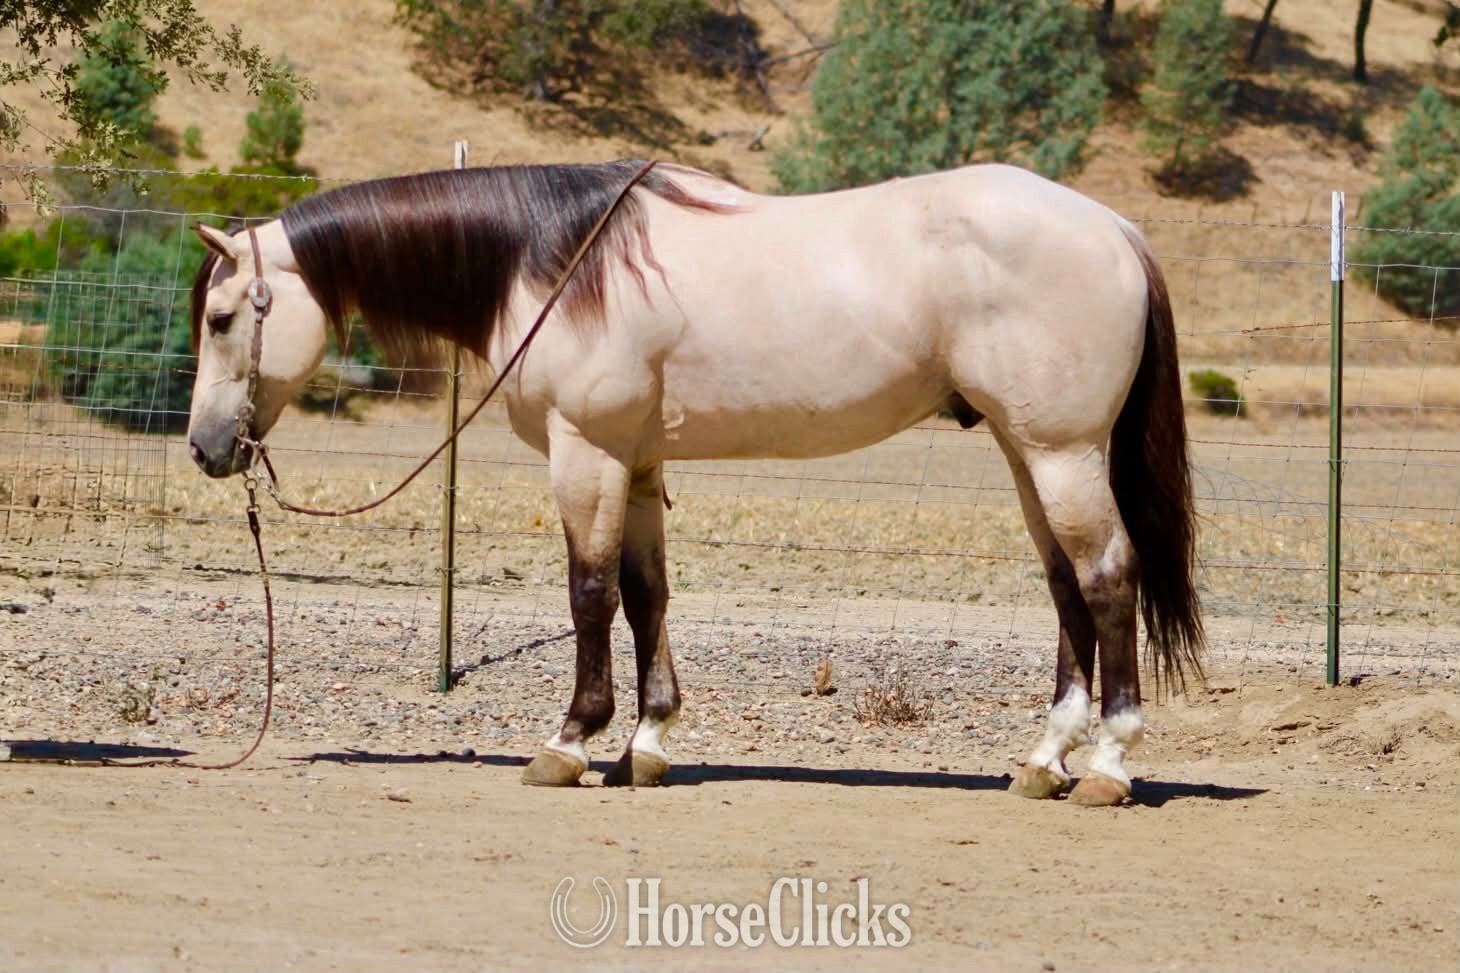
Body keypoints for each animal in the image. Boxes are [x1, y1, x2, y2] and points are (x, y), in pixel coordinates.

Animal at [186, 159, 1203, 806]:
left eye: (223, 315)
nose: (205, 448)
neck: (559, 261)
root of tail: (1115, 228)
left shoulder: (587, 452)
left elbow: (589, 592)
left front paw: (571, 740)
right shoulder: (636, 463)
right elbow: (646, 595)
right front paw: (647, 743)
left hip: (1063, 452)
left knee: (1108, 577)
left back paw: (1108, 764)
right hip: (1029, 452)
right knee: (1066, 585)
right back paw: (1043, 761)